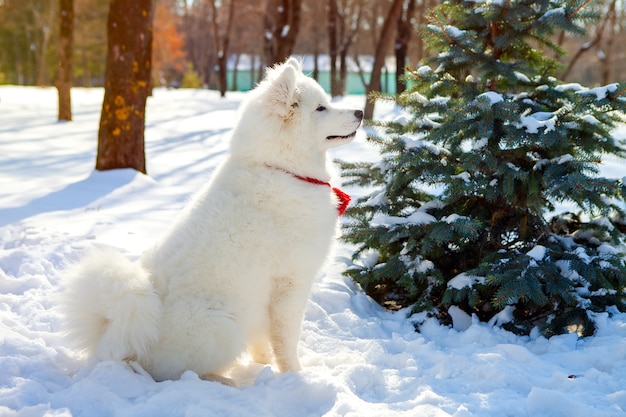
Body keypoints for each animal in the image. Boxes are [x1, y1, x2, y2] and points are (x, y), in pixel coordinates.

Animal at [61, 57, 364, 380]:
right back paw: (228, 381)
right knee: (188, 374)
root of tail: (119, 337)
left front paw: (263, 364)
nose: (360, 112)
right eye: (321, 108)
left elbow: (263, 339)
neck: (279, 169)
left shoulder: (265, 297)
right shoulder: (291, 283)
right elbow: (286, 339)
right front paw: (295, 375)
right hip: (224, 326)